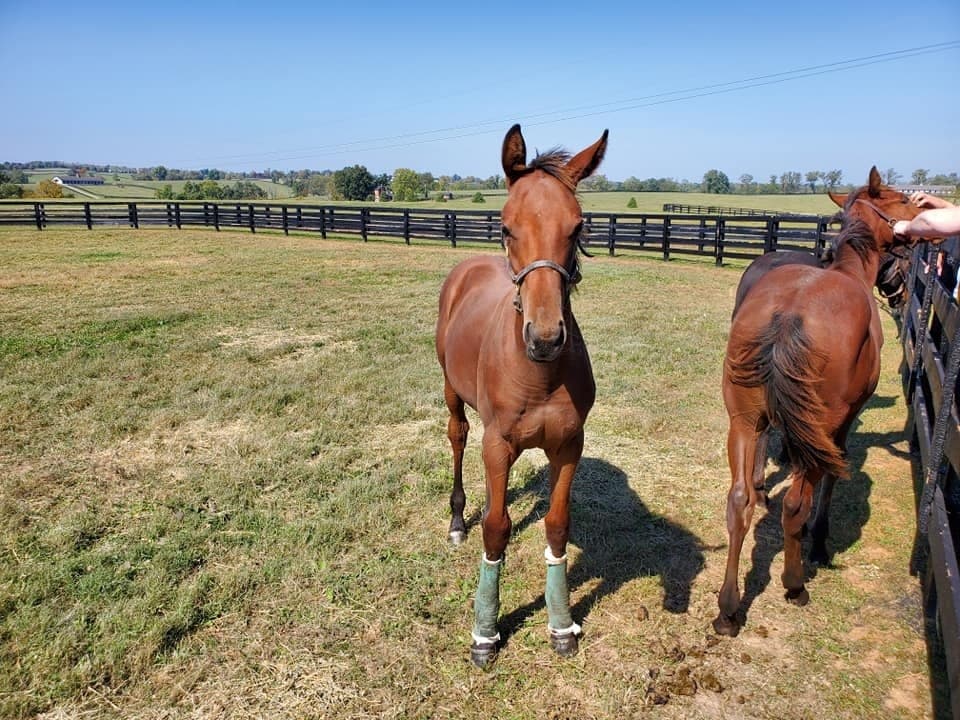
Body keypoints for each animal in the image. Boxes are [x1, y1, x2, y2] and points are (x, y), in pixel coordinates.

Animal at [435, 124, 608, 666]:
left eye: (578, 227)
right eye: (507, 226)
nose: (546, 338)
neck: (540, 377)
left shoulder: (569, 445)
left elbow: (556, 524)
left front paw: (561, 624)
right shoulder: (499, 444)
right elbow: (496, 528)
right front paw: (485, 632)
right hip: (452, 392)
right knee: (458, 437)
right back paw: (456, 520)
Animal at [714, 167, 926, 637]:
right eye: (904, 199)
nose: (921, 226)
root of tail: (788, 315)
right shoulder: (840, 424)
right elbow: (832, 474)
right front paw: (820, 541)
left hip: (743, 420)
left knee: (739, 501)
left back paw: (728, 608)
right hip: (816, 426)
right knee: (795, 505)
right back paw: (794, 584)